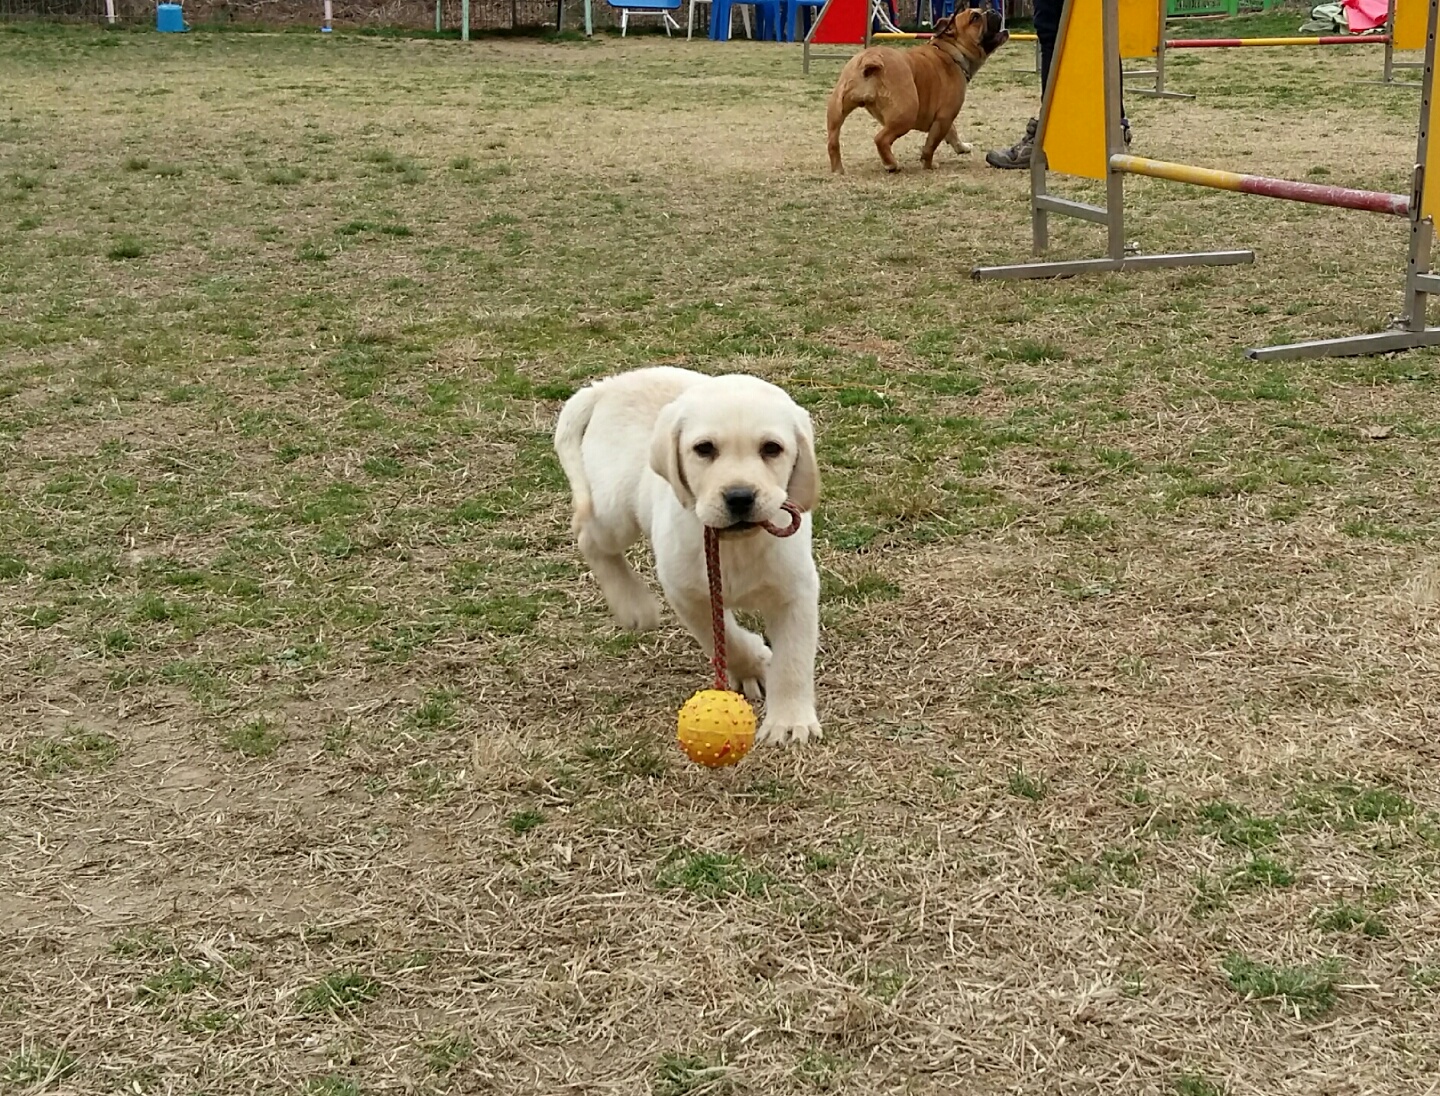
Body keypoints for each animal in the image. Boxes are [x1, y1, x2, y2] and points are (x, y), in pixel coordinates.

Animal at [550, 365, 823, 743]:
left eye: (772, 448)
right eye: (704, 449)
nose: (740, 497)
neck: (736, 545)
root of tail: (608, 386)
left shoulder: (796, 591)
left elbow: (793, 659)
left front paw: (789, 721)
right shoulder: (689, 592)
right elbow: (722, 637)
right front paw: (753, 664)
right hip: (615, 510)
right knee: (587, 535)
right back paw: (634, 606)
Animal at [829, 9, 1008, 174]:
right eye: (975, 17)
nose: (992, 10)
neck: (950, 50)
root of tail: (870, 59)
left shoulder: (944, 118)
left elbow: (952, 132)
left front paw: (962, 147)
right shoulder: (944, 117)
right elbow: (931, 145)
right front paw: (928, 165)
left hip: (836, 112)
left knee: (833, 142)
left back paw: (838, 169)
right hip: (906, 115)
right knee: (881, 139)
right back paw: (891, 164)